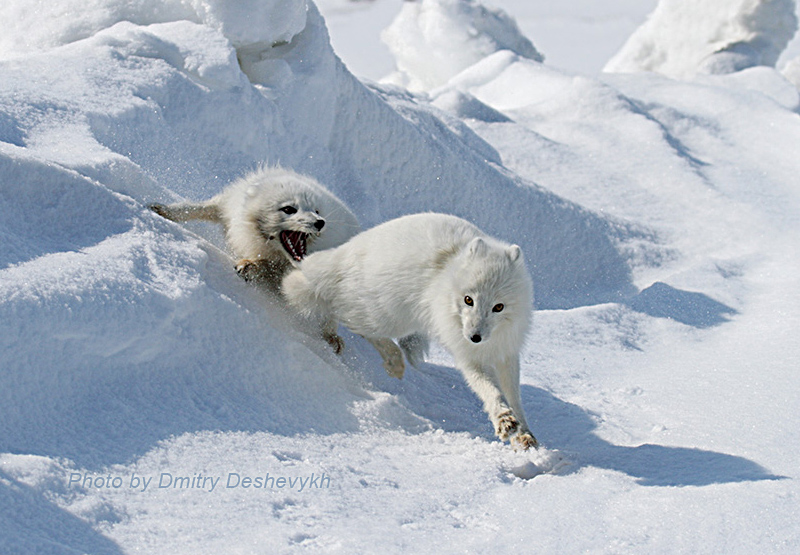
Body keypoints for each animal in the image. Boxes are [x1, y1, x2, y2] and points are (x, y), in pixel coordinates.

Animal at [149, 167, 360, 292]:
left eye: (316, 210)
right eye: (288, 209)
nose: (321, 222)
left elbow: (266, 266)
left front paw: (248, 265)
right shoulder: (229, 207)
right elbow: (196, 208)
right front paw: (162, 210)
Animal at [282, 213, 536, 452]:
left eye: (498, 307)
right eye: (468, 300)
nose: (474, 337)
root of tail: (345, 251)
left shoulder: (506, 352)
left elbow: (514, 396)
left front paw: (524, 434)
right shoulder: (468, 356)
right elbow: (490, 390)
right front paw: (504, 421)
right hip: (389, 317)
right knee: (350, 319)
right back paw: (392, 361)